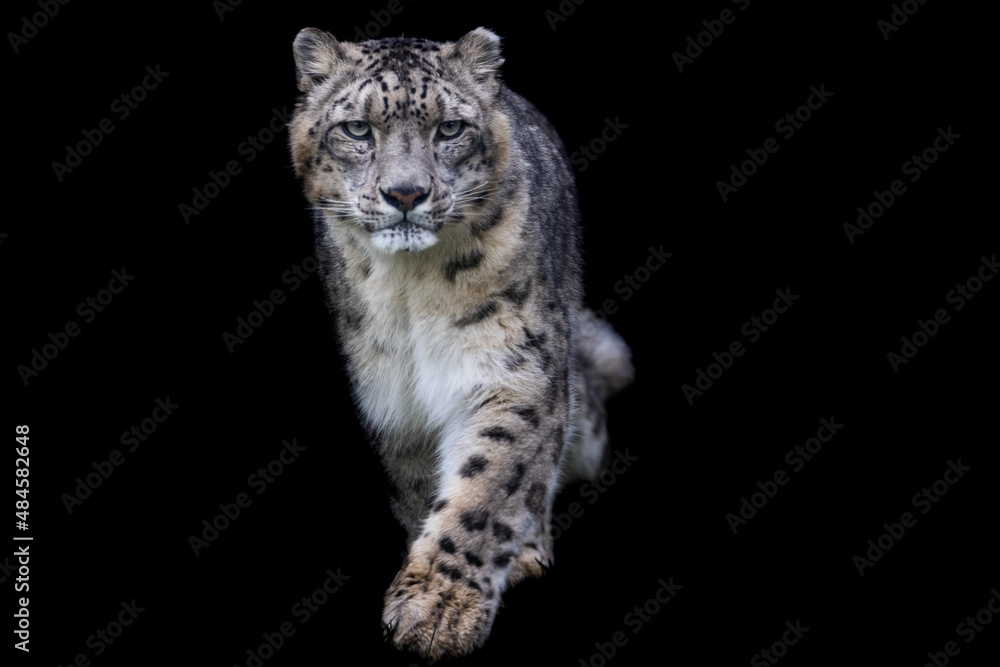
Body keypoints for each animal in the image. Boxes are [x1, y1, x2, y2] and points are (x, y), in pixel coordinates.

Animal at [288, 26, 633, 659]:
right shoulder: (393, 398)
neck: (410, 288)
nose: (405, 193)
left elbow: (487, 485)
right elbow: (423, 487)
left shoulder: (513, 370)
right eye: (357, 129)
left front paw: (437, 611)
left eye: (449, 129)